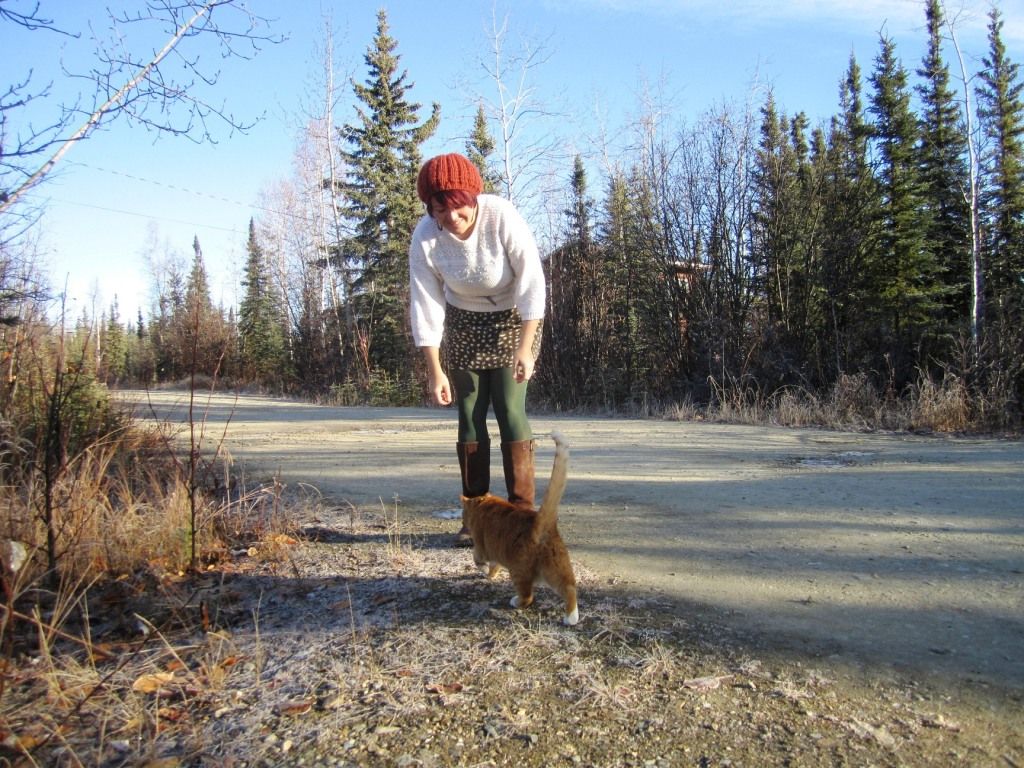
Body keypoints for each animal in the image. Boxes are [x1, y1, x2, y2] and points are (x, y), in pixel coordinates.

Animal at [462, 430, 581, 626]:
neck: (483, 503)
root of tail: (540, 522)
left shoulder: (480, 547)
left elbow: (477, 560)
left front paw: (485, 572)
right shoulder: (495, 553)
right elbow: (494, 566)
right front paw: (491, 574)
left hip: (518, 571)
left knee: (527, 597)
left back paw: (515, 601)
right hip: (555, 569)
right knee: (570, 588)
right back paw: (571, 617)